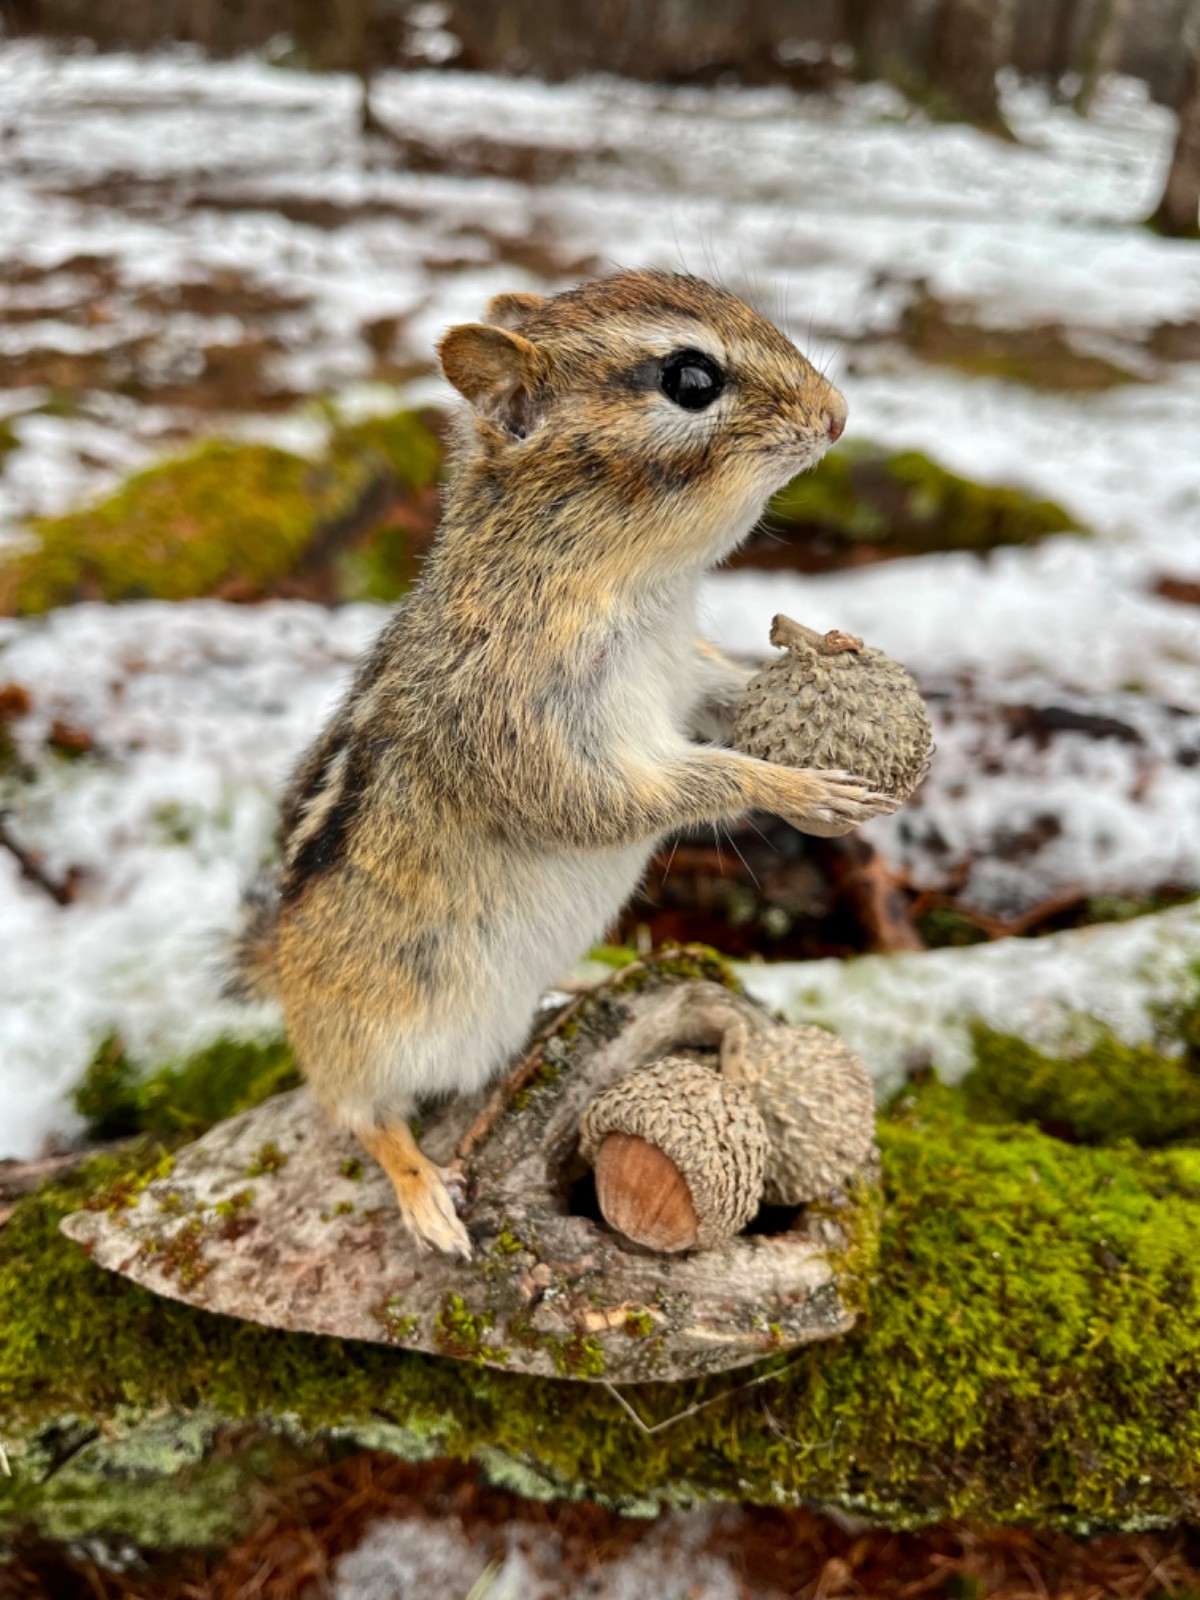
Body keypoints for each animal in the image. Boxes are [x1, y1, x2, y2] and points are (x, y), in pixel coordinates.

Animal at [231, 269, 897, 1258]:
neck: (644, 586)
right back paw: (422, 1190)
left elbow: (730, 696)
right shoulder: (527, 734)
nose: (839, 416)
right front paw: (797, 787)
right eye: (690, 380)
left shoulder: (682, 673)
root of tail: (282, 973)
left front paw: (830, 650)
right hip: (371, 1034)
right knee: (358, 1115)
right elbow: (633, 795)